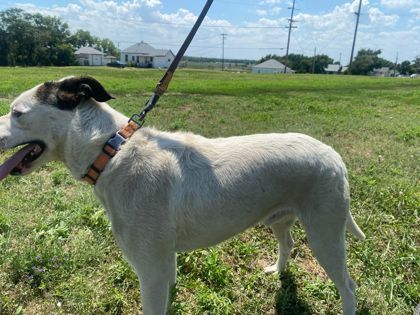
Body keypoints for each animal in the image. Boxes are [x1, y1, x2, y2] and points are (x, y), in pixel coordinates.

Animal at [0, 77, 364, 315]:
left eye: (17, 112)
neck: (112, 152)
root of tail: (334, 156)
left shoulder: (152, 273)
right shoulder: (164, 266)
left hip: (325, 235)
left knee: (348, 286)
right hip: (281, 219)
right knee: (287, 243)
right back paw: (277, 269)